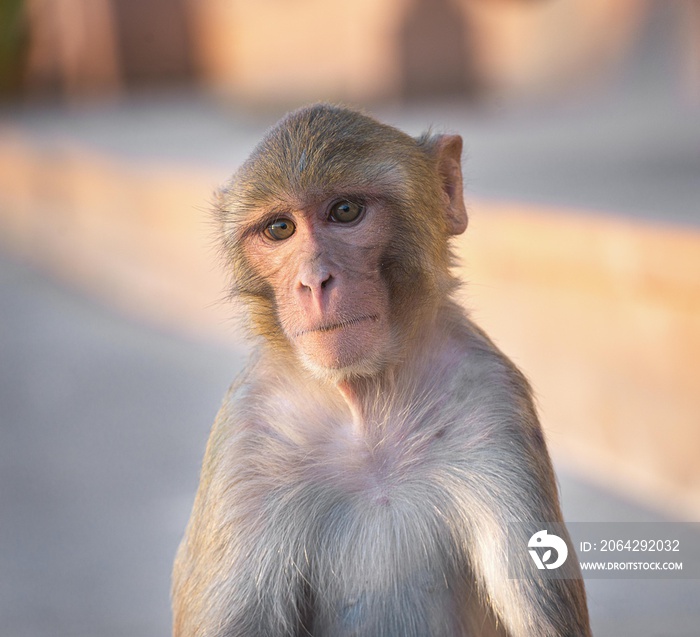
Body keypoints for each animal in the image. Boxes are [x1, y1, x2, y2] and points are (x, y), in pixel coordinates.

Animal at [171, 104, 592, 636]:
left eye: (345, 211)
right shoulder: (247, 437)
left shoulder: (494, 400)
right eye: (280, 229)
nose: (314, 280)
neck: (367, 401)